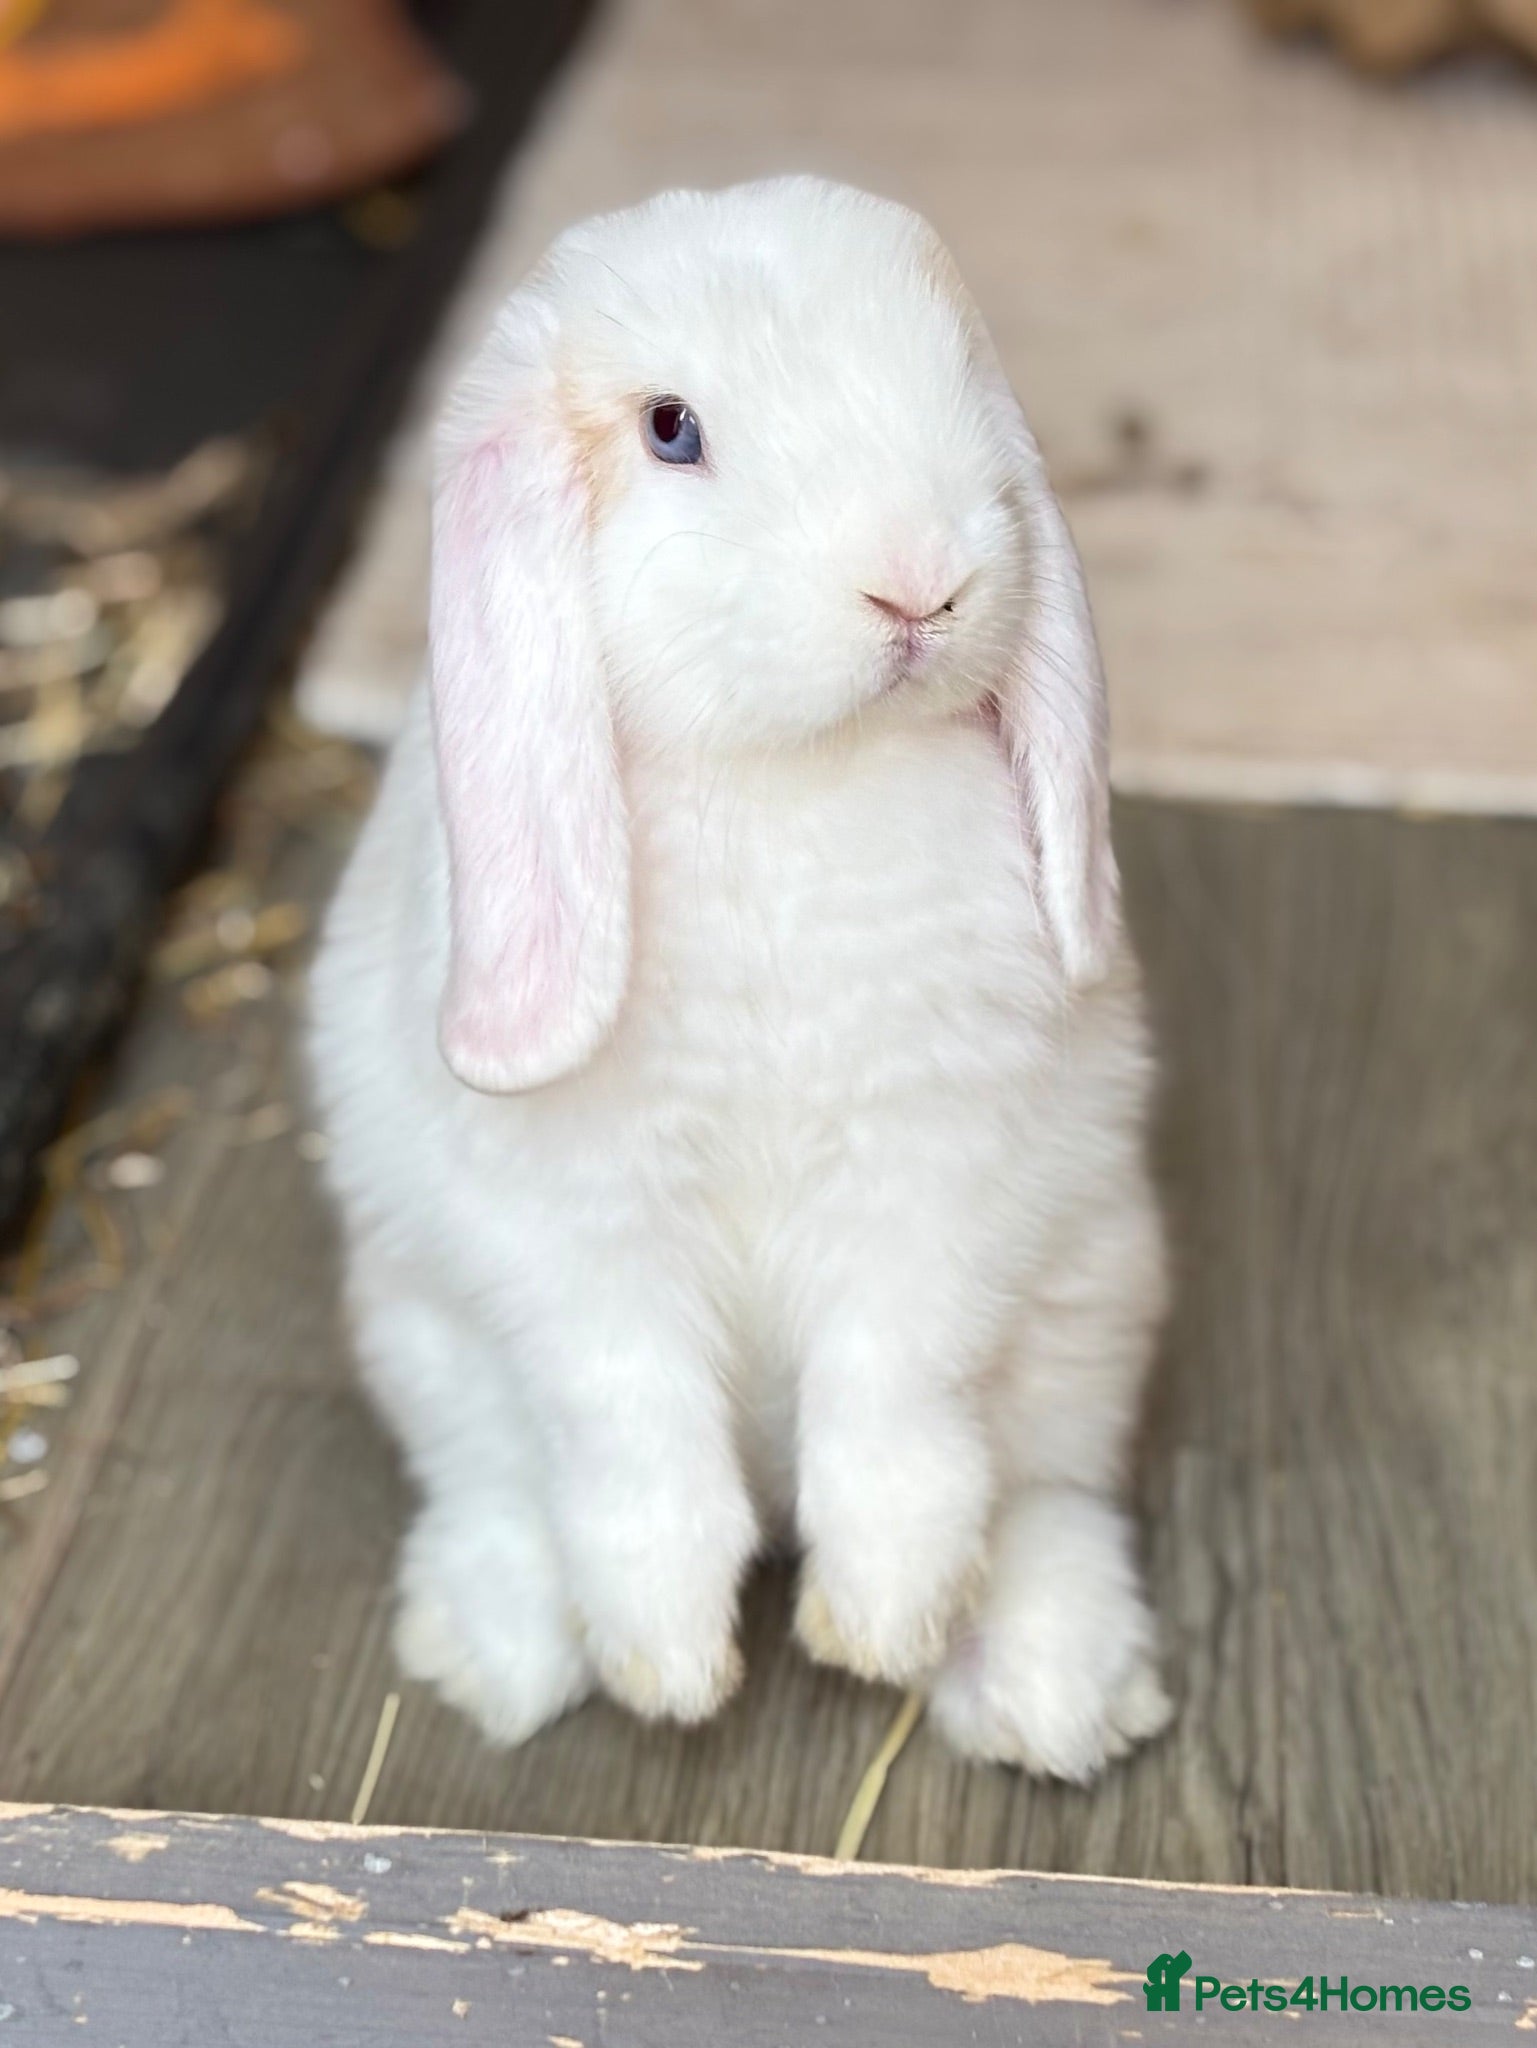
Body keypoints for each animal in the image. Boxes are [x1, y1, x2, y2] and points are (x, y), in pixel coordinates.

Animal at [307, 174, 1172, 1783]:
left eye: (959, 374)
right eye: (671, 430)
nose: (920, 585)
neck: (791, 779)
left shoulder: (930, 1181)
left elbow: (894, 1406)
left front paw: (875, 1621)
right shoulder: (582, 1234)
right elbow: (635, 1437)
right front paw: (667, 1663)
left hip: (1091, 1311)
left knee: (1041, 1498)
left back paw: (1050, 1690)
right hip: (427, 1338)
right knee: (503, 1491)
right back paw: (502, 1654)